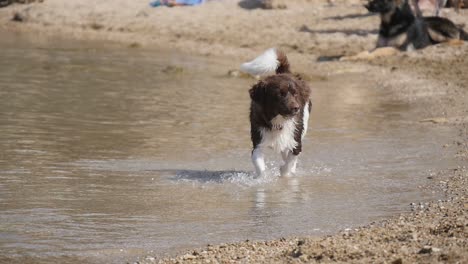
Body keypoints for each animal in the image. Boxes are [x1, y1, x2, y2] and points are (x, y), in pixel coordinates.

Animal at [241, 49, 310, 177]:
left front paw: (285, 172)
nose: (296, 108)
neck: (279, 121)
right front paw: (263, 178)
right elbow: (260, 167)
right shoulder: (258, 143)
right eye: (280, 94)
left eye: (295, 94)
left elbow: (289, 163)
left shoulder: (296, 142)